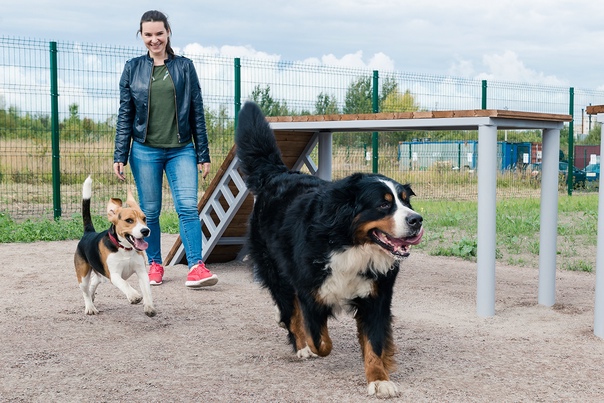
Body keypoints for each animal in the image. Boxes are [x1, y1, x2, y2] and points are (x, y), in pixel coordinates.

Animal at [234, 102, 422, 400]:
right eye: (383, 205)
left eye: (405, 201)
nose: (417, 220)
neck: (350, 244)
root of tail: (277, 174)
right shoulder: (311, 290)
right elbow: (320, 339)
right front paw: (309, 344)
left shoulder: (376, 296)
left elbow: (374, 342)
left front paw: (379, 378)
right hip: (275, 269)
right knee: (289, 307)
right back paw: (298, 343)